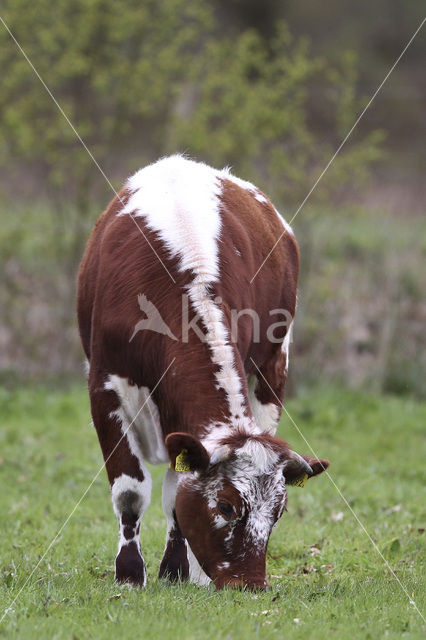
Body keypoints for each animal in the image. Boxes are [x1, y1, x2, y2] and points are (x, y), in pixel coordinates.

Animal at [77, 155, 330, 592]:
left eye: (278, 513)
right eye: (226, 507)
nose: (251, 583)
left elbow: (177, 492)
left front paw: (178, 571)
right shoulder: (105, 386)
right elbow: (130, 491)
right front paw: (129, 574)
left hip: (273, 369)